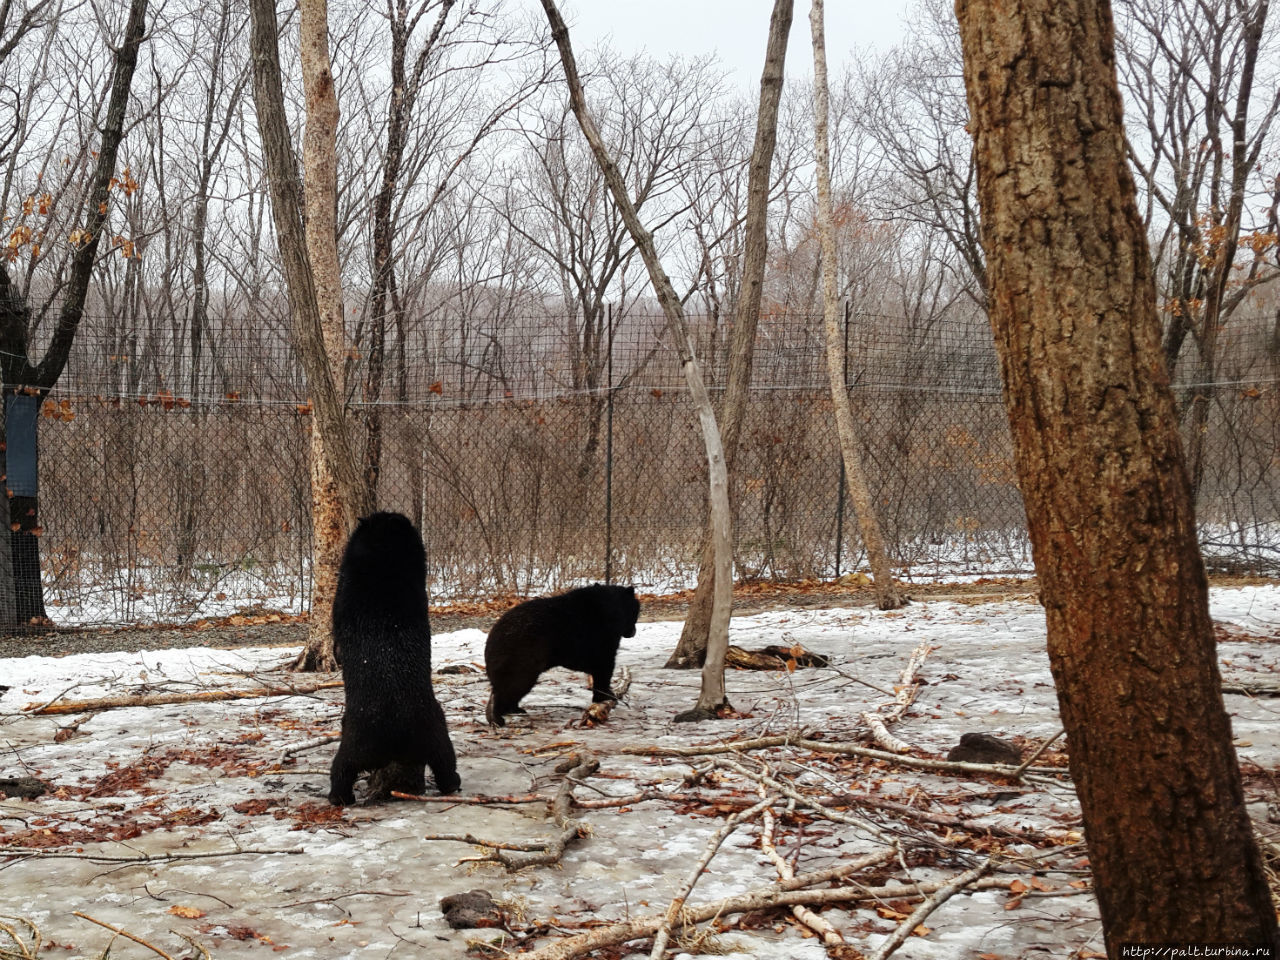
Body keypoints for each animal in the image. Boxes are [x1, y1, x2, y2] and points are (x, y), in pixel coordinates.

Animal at [325, 514, 460, 808]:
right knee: (443, 760)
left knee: (342, 768)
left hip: (361, 737)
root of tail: (395, 736)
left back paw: (338, 797)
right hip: (429, 732)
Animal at [481, 583, 640, 727]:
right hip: (522, 659)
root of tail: (491, 640)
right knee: (512, 686)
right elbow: (603, 669)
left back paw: (513, 709)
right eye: (636, 613)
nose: (633, 632)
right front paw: (605, 696)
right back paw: (497, 717)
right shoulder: (602, 641)